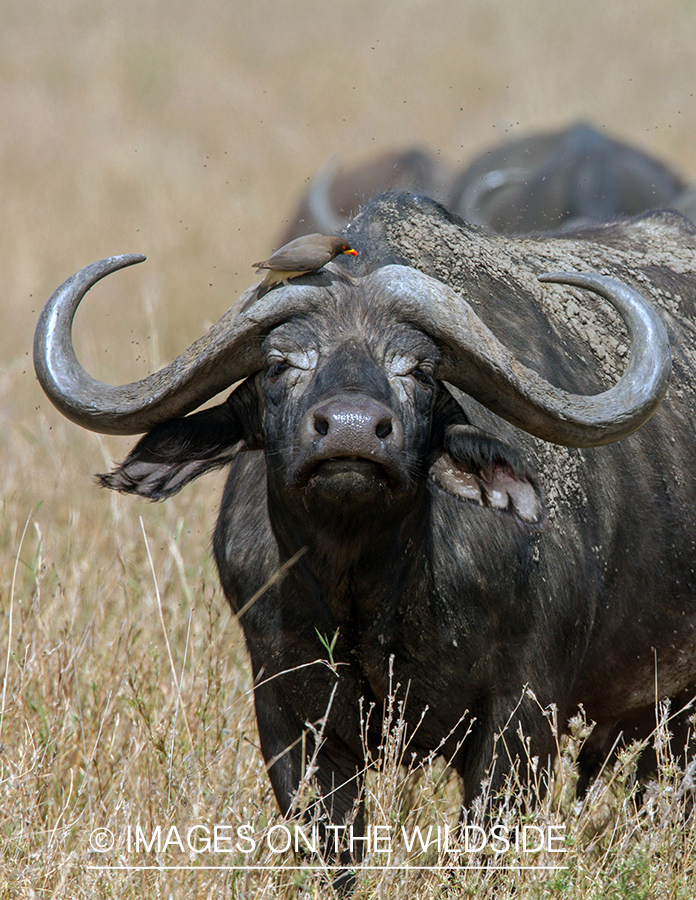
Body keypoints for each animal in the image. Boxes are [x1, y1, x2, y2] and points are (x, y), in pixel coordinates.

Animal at [35, 193, 696, 876]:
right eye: (281, 364)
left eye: (419, 370)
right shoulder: (290, 719)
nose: (352, 429)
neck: (370, 591)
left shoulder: (523, 716)